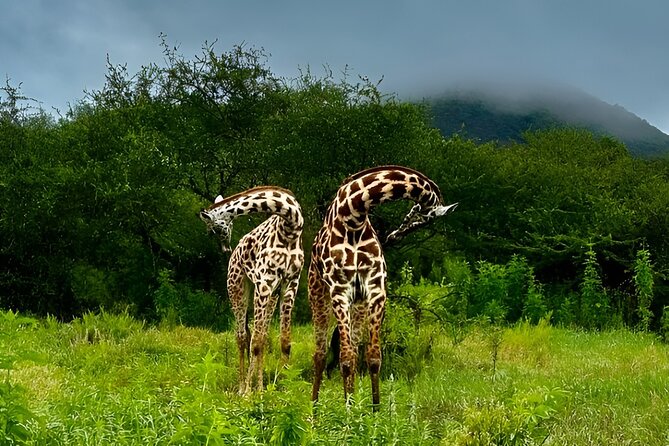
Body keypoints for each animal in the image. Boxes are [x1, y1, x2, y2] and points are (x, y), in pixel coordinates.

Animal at [200, 186, 304, 394]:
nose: (225, 248)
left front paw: (285, 386)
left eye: (215, 229)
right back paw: (242, 388)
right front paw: (248, 393)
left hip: (272, 294)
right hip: (237, 287)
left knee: (261, 337)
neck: (291, 226)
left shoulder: (290, 282)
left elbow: (284, 341)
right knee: (241, 337)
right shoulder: (264, 281)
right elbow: (253, 342)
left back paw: (260, 388)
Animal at [308, 165, 457, 409]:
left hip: (357, 305)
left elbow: (373, 357)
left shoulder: (375, 290)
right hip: (318, 296)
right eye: (420, 217)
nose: (394, 235)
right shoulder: (339, 290)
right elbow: (345, 359)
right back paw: (315, 409)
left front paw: (374, 412)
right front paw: (348, 415)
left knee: (352, 349)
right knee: (321, 354)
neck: (353, 216)